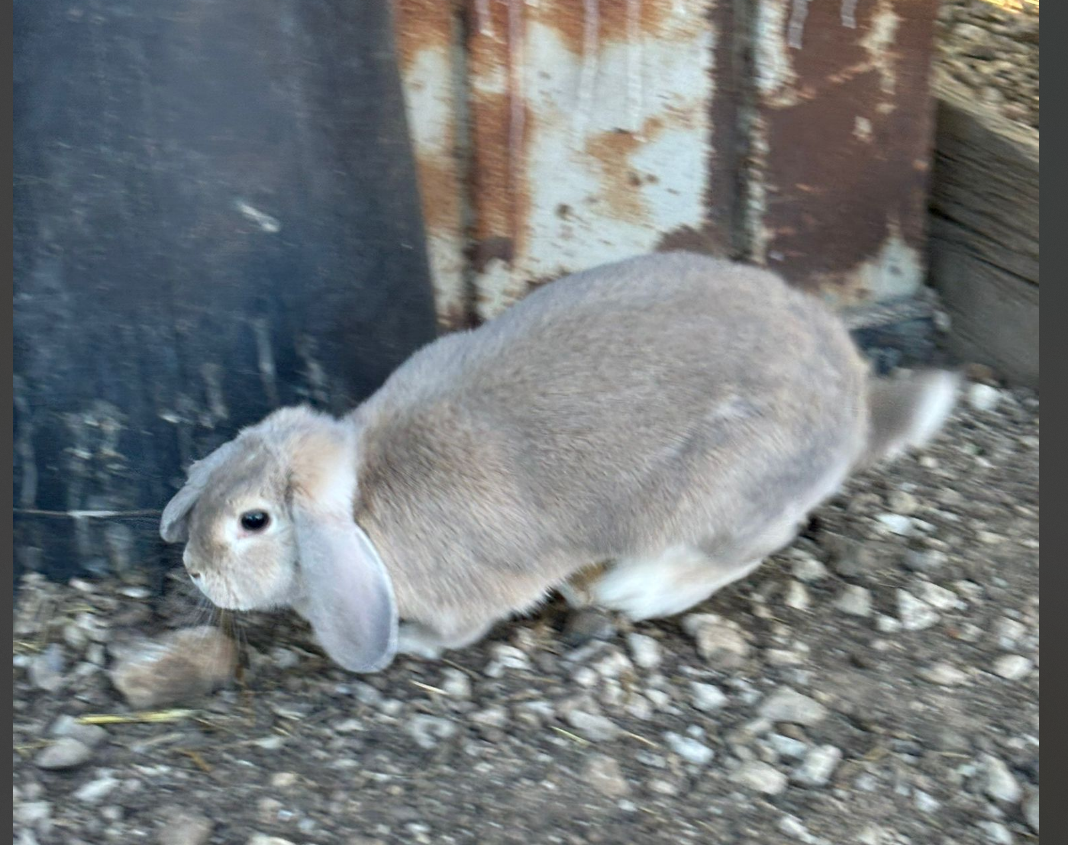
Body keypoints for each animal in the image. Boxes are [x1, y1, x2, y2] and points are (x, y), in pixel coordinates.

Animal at [160, 251, 959, 673]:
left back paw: (640, 589)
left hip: (718, 491)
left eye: (253, 520)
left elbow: (457, 631)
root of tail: (856, 412)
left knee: (749, 544)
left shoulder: (470, 596)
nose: (194, 569)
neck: (362, 499)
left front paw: (411, 643)